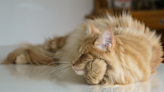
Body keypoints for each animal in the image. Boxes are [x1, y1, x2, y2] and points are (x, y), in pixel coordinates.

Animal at [3, 13, 163, 85]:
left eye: (84, 55)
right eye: (77, 53)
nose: (72, 63)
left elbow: (93, 77)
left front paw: (99, 66)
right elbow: (93, 74)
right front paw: (99, 65)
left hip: (55, 55)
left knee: (44, 56)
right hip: (56, 45)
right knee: (38, 51)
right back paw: (19, 59)